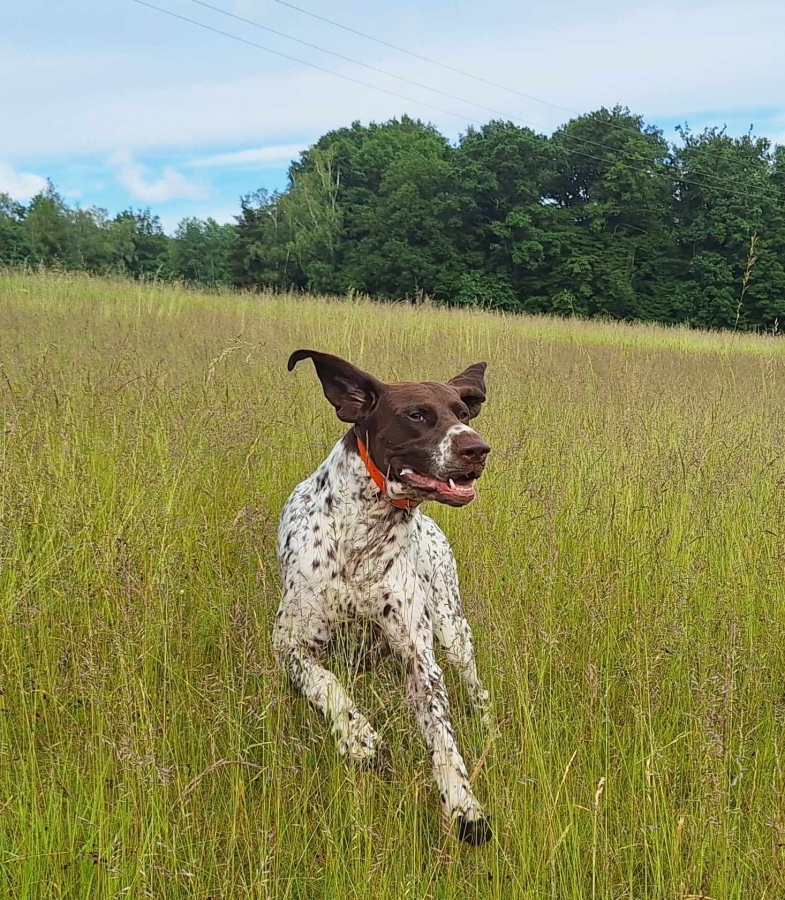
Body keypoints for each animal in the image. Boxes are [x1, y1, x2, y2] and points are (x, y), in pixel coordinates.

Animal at [273, 350, 493, 844]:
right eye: (417, 415)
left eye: (463, 413)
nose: (477, 449)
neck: (363, 535)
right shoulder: (289, 643)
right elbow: (326, 683)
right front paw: (358, 736)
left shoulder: (420, 659)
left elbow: (443, 736)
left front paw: (464, 804)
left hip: (453, 629)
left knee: (475, 683)